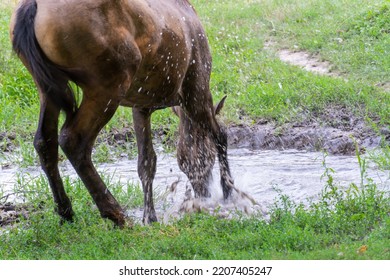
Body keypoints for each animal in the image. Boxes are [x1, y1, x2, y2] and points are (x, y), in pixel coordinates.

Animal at [9, 0, 235, 226]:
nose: (204, 194)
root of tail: (32, 6)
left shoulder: (141, 105)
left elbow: (146, 162)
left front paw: (150, 217)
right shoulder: (195, 86)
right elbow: (220, 135)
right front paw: (229, 191)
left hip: (47, 87)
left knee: (44, 141)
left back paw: (66, 212)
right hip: (108, 85)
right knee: (73, 139)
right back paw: (115, 213)